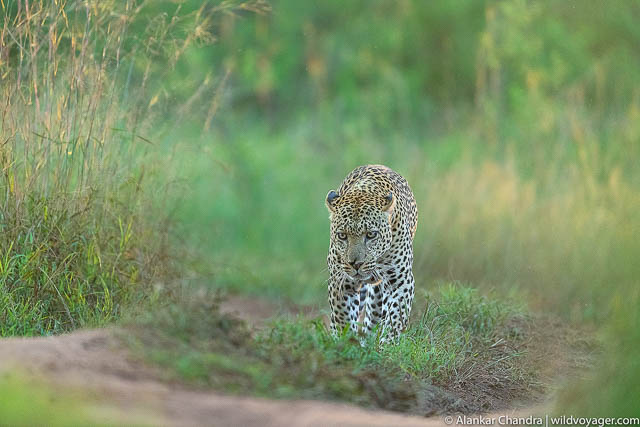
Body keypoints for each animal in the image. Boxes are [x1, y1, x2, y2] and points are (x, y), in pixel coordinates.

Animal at [325, 164, 418, 343]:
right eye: (342, 235)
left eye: (371, 234)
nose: (355, 264)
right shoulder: (341, 282)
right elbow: (342, 319)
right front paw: (344, 343)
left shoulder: (401, 282)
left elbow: (395, 318)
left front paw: (388, 344)